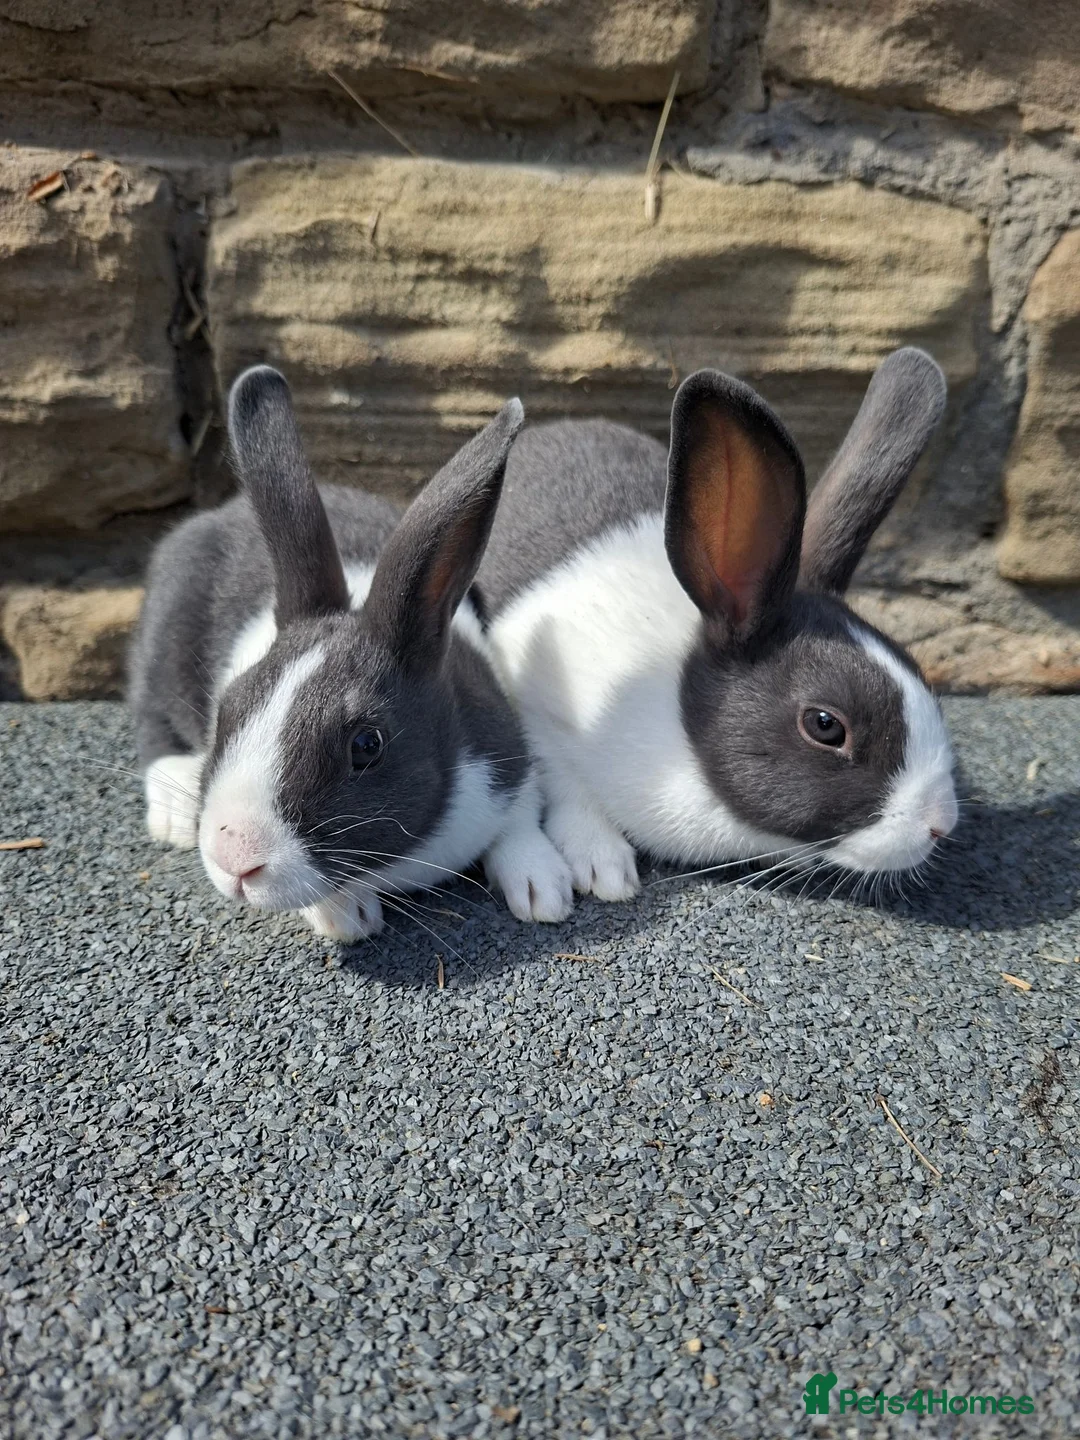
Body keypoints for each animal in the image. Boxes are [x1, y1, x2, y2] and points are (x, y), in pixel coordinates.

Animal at [128, 365, 574, 941]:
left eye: (367, 745)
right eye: (227, 710)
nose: (234, 860)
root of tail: (214, 518)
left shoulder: (506, 762)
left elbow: (520, 822)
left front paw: (544, 890)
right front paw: (347, 915)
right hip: (162, 639)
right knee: (151, 716)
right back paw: (172, 807)